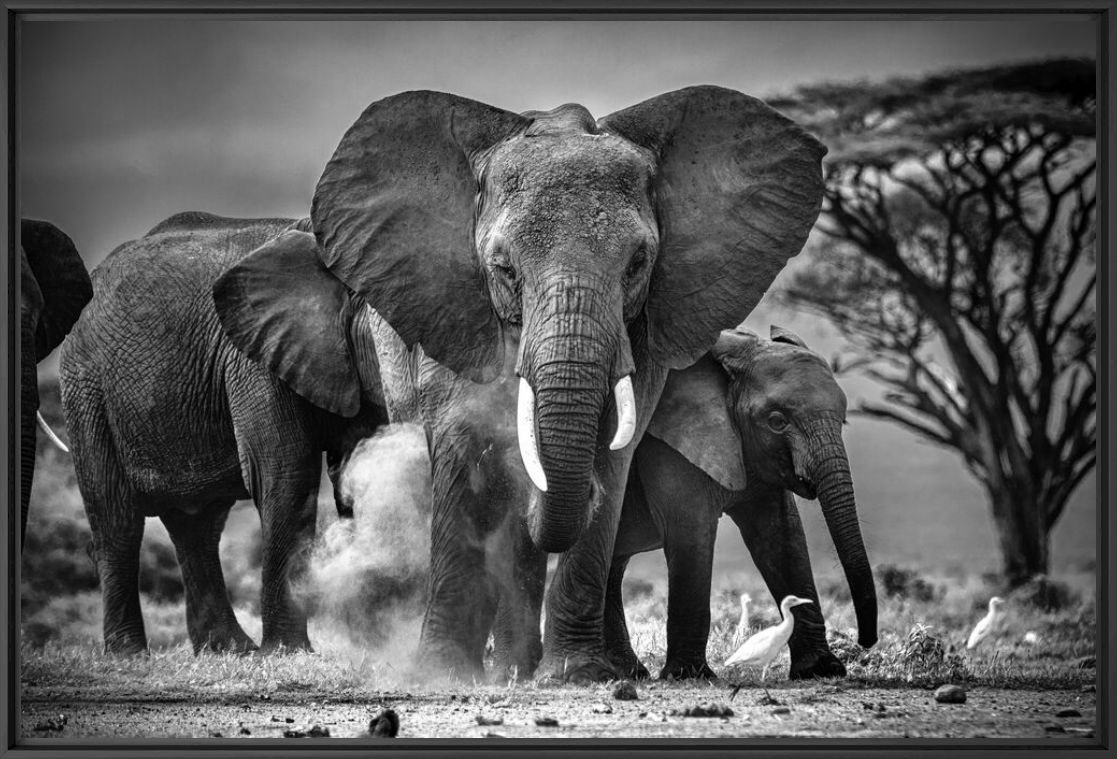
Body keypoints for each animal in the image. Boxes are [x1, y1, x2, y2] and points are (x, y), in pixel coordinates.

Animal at [61, 212, 386, 652]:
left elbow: (360, 472)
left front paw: (379, 644)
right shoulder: (254, 358)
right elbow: (285, 473)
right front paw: (287, 652)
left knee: (197, 525)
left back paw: (231, 650)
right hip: (86, 388)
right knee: (117, 519)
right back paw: (130, 654)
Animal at [224, 86, 831, 679]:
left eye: (638, 263)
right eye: (503, 268)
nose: (581, 494)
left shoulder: (650, 321)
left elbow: (614, 448)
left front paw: (576, 675)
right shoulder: (452, 304)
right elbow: (463, 441)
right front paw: (441, 674)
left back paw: (523, 666)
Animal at [607, 326, 875, 684]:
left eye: (843, 420)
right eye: (776, 421)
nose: (864, 641)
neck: (736, 350)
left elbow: (782, 536)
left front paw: (821, 670)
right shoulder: (668, 442)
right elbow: (691, 531)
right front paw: (690, 676)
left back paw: (627, 672)